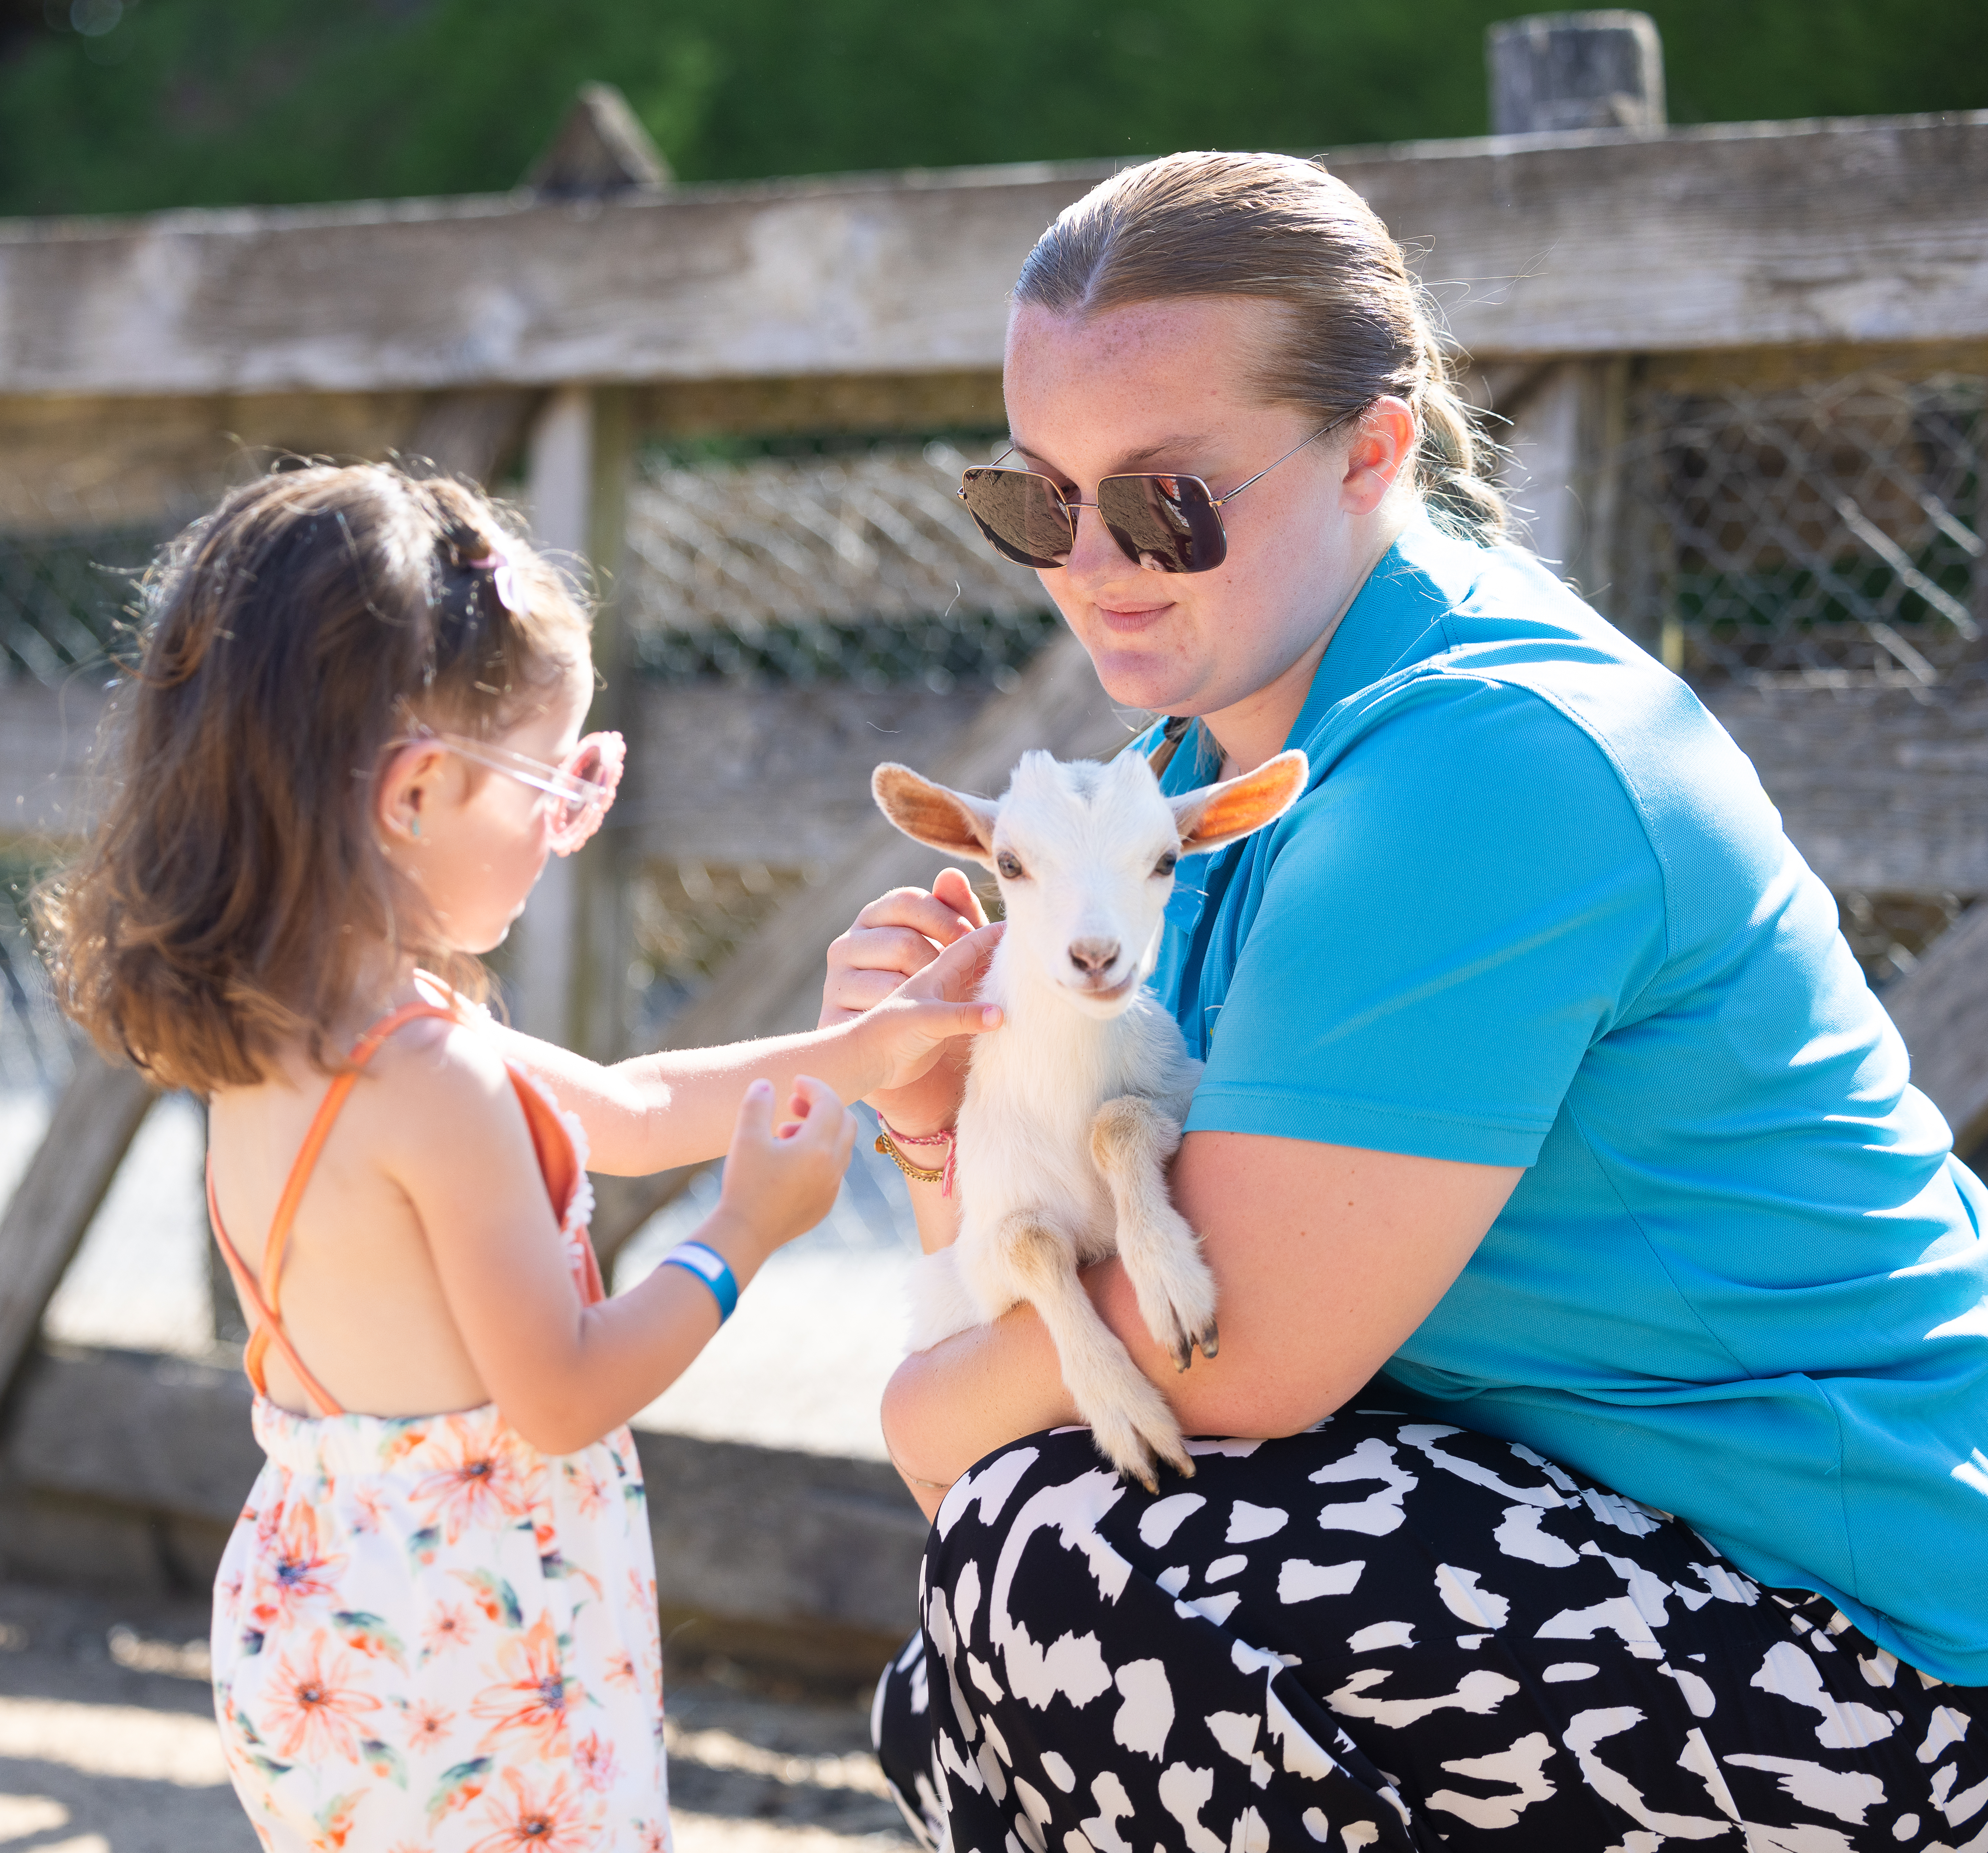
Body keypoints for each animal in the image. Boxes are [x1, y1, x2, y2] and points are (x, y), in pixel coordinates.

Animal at [871, 743, 1304, 1487]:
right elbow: (1025, 1241)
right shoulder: (978, 1257)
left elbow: (1117, 1120)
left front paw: (1167, 1284)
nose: (1097, 957)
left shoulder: (1184, 1088)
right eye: (1009, 862)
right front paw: (1123, 1409)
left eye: (1166, 859)